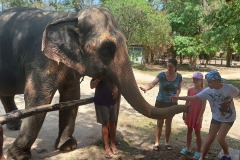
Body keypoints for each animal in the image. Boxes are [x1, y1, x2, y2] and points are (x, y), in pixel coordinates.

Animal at [0, 6, 188, 159]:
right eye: (107, 48)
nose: (186, 107)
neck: (70, 17)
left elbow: (71, 96)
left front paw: (68, 146)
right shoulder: (39, 58)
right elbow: (38, 99)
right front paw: (17, 155)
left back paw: (15, 125)